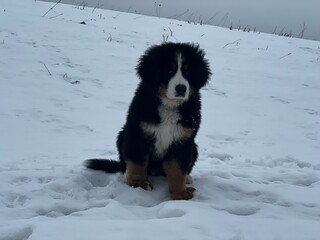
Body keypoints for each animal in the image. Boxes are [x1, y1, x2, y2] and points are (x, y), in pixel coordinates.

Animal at [85, 42, 211, 200]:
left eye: (188, 72)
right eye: (169, 70)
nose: (181, 88)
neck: (169, 105)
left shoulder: (183, 141)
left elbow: (177, 170)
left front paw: (180, 193)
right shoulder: (138, 133)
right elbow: (138, 162)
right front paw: (139, 183)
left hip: (194, 148)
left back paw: (187, 178)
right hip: (122, 136)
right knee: (125, 165)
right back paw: (127, 175)